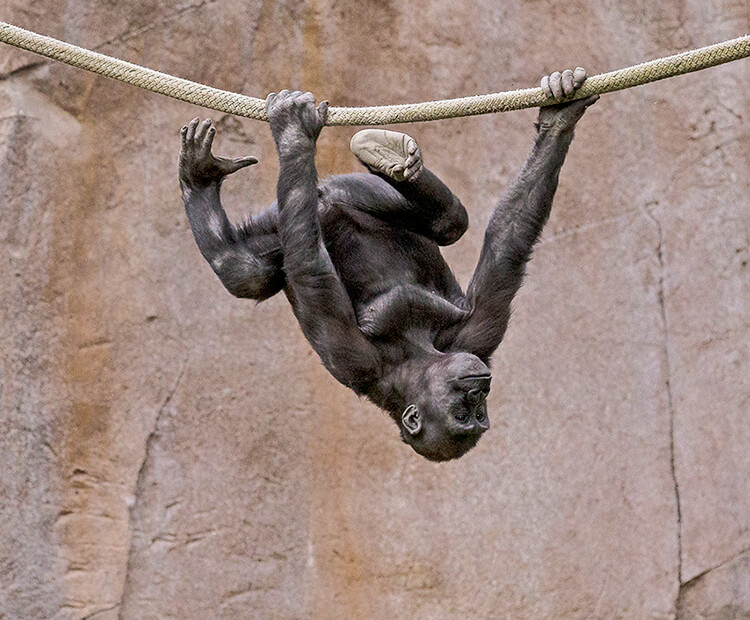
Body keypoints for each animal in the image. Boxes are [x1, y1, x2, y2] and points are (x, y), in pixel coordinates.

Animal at [179, 70, 596, 462]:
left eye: (476, 415)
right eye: (464, 411)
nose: (479, 392)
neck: (416, 353)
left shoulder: (475, 336)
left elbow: (507, 245)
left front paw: (558, 118)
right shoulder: (365, 354)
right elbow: (312, 273)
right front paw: (295, 135)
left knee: (248, 268)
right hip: (346, 194)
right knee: (253, 269)